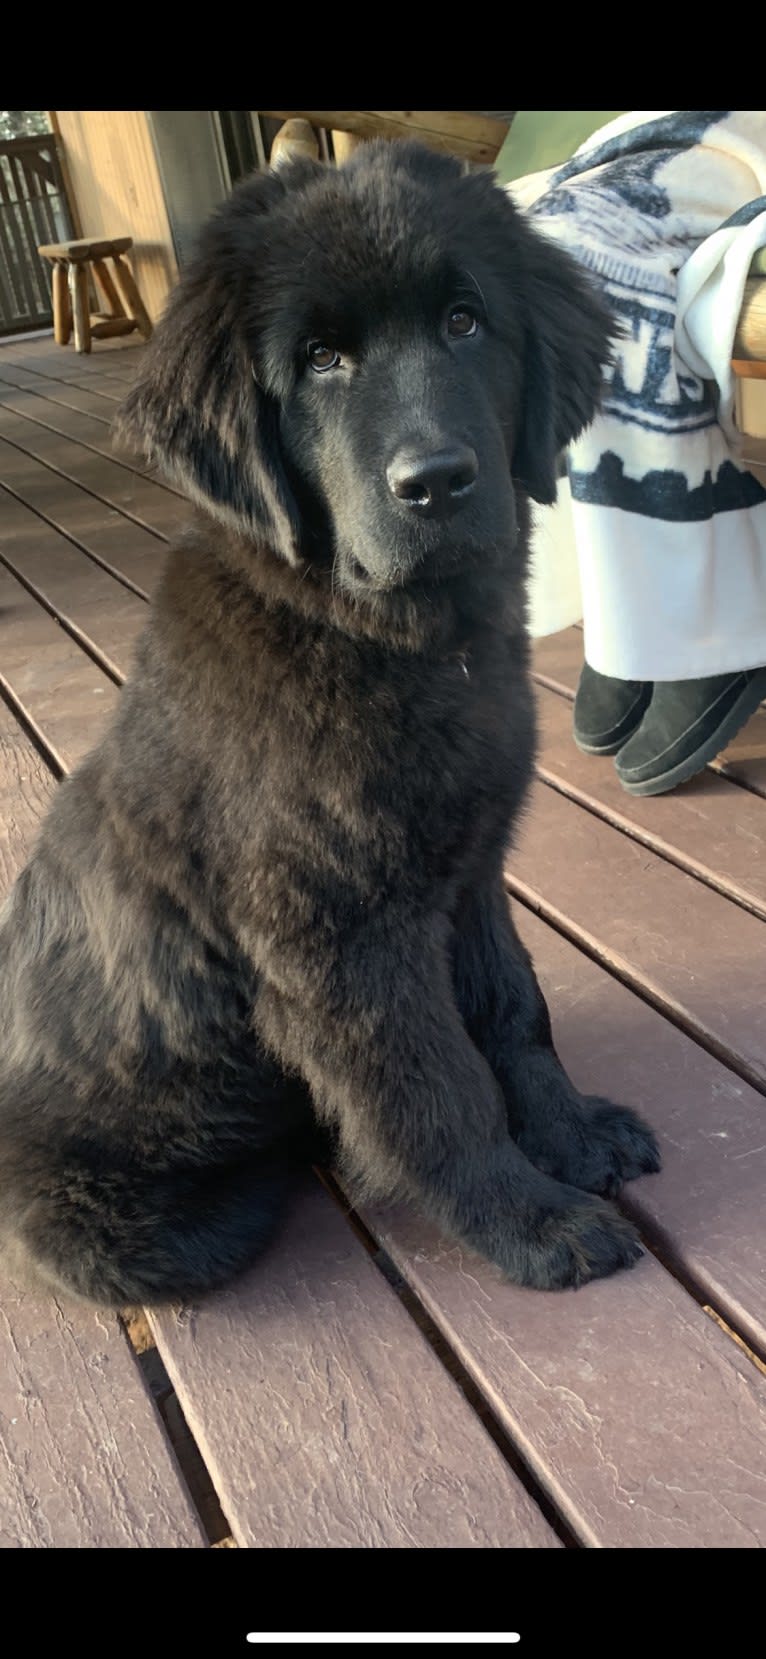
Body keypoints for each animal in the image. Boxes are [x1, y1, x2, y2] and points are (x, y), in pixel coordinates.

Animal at [0, 145, 659, 1307]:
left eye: (464, 322)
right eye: (320, 360)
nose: (436, 483)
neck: (387, 637)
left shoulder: (468, 875)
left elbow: (513, 1011)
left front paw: (572, 1135)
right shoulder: (339, 936)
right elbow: (435, 1085)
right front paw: (528, 1220)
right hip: (139, 1223)